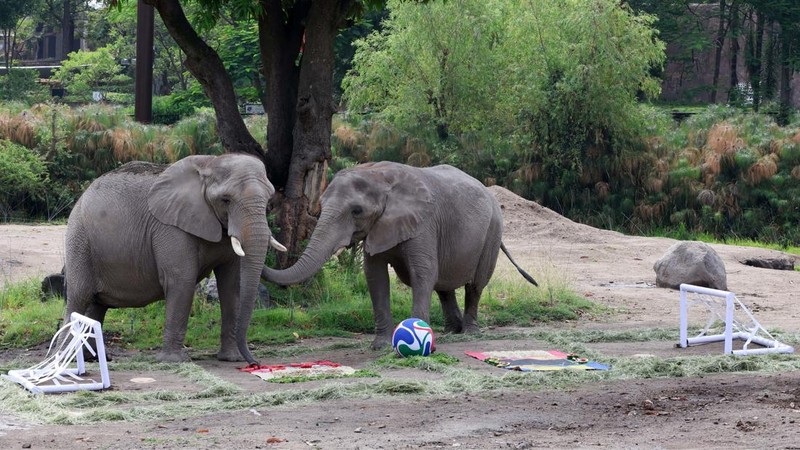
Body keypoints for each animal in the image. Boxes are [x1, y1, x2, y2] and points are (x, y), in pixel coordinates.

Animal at [64, 154, 285, 364]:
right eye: (226, 200)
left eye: (268, 202)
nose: (255, 362)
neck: (209, 164)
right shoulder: (170, 227)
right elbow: (181, 280)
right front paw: (175, 361)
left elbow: (232, 286)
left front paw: (232, 358)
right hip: (79, 241)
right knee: (79, 297)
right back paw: (72, 361)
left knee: (96, 306)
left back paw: (92, 358)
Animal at [262, 161, 537, 349]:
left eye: (356, 211)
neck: (379, 176)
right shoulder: (378, 227)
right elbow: (375, 277)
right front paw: (380, 346)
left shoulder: (424, 223)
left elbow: (423, 273)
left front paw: (418, 339)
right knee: (444, 288)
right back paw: (452, 331)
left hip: (493, 230)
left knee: (475, 285)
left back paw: (469, 333)